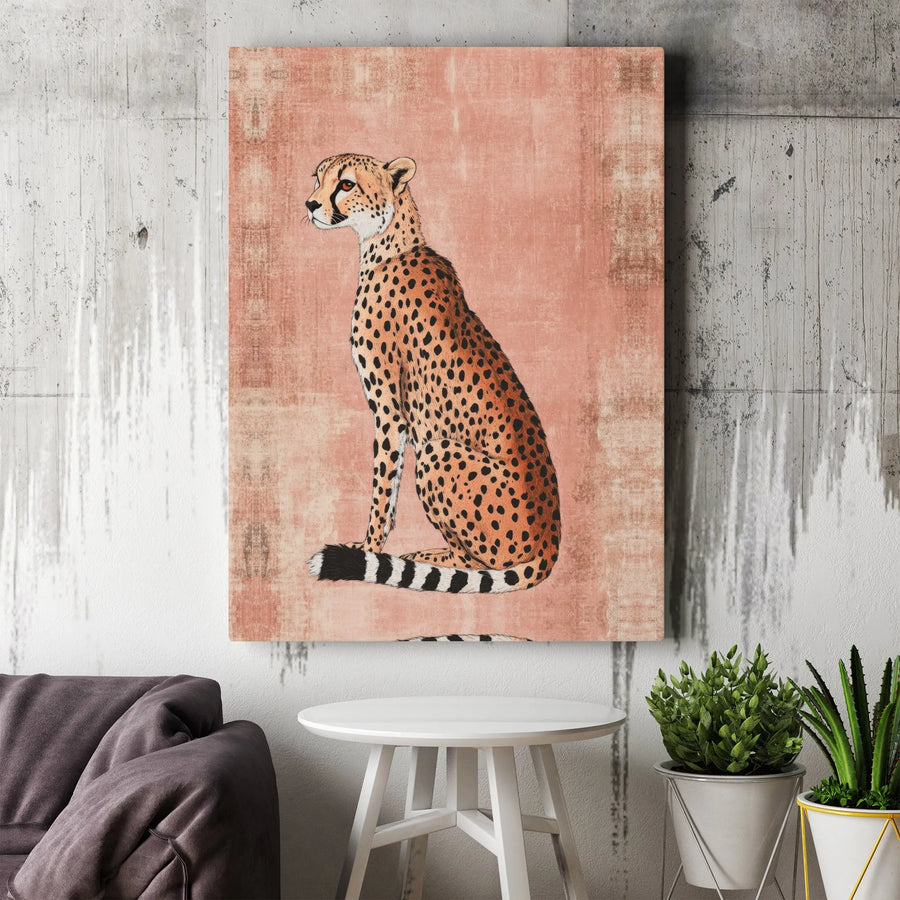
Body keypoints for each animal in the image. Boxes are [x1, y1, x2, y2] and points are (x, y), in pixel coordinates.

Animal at [305, 153, 560, 594]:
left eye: (346, 184)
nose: (310, 204)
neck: (387, 243)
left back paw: (429, 556)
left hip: (437, 452)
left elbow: (383, 487)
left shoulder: (390, 412)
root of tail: (551, 537)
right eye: (318, 178)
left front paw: (368, 551)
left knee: (478, 563)